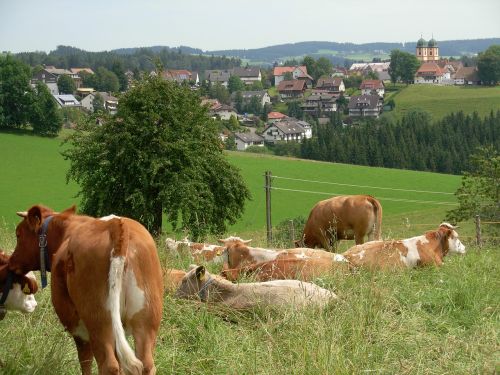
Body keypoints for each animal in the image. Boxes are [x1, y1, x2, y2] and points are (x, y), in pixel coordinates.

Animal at [8, 206, 164, 375]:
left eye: (18, 234)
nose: (11, 262)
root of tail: (115, 224)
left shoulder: (80, 332)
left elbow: (85, 362)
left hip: (98, 321)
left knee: (108, 364)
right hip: (146, 320)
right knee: (146, 364)